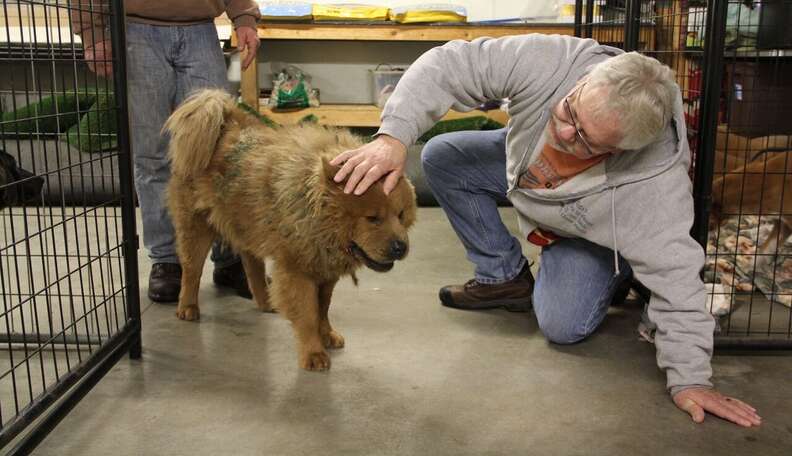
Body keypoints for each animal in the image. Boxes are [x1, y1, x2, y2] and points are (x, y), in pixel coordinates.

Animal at [164, 89, 418, 370]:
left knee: (252, 266)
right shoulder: (297, 269)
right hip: (196, 227)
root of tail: (223, 120)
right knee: (192, 270)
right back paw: (187, 307)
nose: (400, 246)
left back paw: (266, 301)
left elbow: (323, 307)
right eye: (372, 218)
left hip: (246, 225)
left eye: (401, 215)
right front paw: (313, 353)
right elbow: (307, 313)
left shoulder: (324, 268)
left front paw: (327, 334)